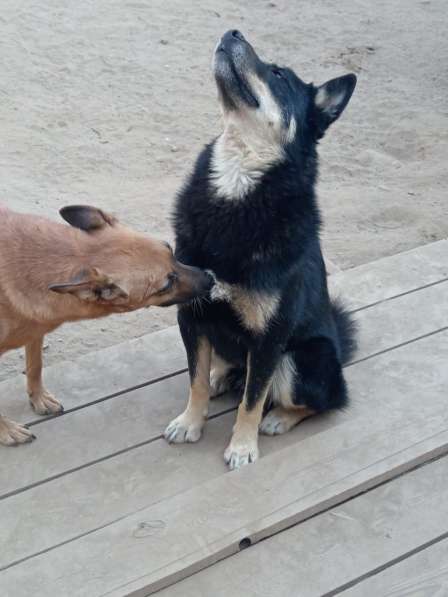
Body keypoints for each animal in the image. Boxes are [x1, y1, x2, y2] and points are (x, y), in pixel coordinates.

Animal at [0, 205, 214, 442]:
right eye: (166, 285)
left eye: (170, 250)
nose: (211, 278)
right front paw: (6, 431)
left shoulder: (36, 331)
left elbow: (35, 366)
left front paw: (38, 397)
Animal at [164, 31, 356, 470]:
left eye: (279, 75)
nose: (232, 32)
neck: (238, 185)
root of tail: (338, 347)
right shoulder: (192, 315)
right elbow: (195, 379)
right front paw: (191, 422)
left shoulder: (270, 339)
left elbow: (252, 400)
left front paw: (242, 445)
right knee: (225, 368)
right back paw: (222, 376)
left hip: (302, 360)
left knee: (322, 401)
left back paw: (280, 419)